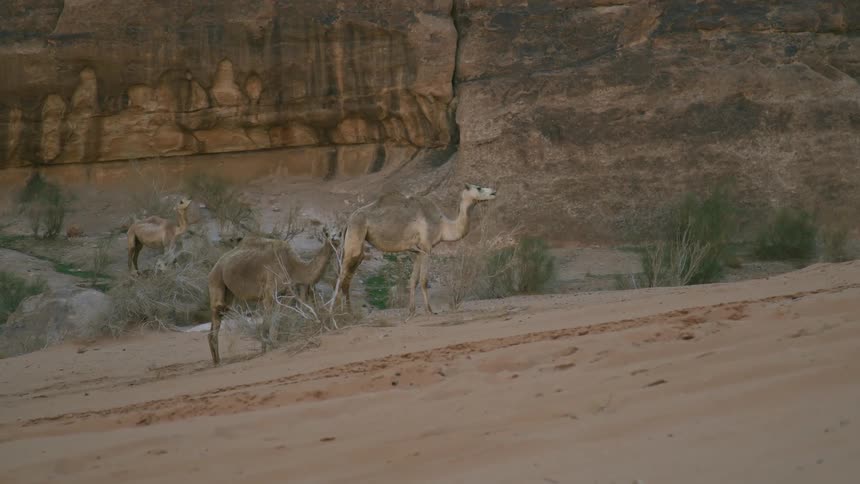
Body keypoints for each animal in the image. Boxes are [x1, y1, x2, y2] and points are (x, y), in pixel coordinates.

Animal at [206, 228, 340, 365]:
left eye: (340, 232)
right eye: (327, 234)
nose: (335, 238)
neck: (292, 265)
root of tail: (214, 267)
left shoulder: (286, 294)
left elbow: (277, 318)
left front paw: (270, 347)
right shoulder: (269, 293)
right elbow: (267, 322)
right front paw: (267, 349)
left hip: (229, 292)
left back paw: (217, 360)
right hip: (216, 281)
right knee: (217, 310)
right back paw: (217, 363)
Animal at [333, 183, 497, 315]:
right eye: (479, 187)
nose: (494, 192)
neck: (443, 225)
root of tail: (348, 222)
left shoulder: (418, 250)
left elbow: (413, 280)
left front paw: (411, 311)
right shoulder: (427, 247)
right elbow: (424, 280)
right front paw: (430, 310)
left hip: (355, 243)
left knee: (346, 278)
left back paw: (347, 313)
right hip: (356, 233)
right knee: (342, 278)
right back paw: (336, 315)